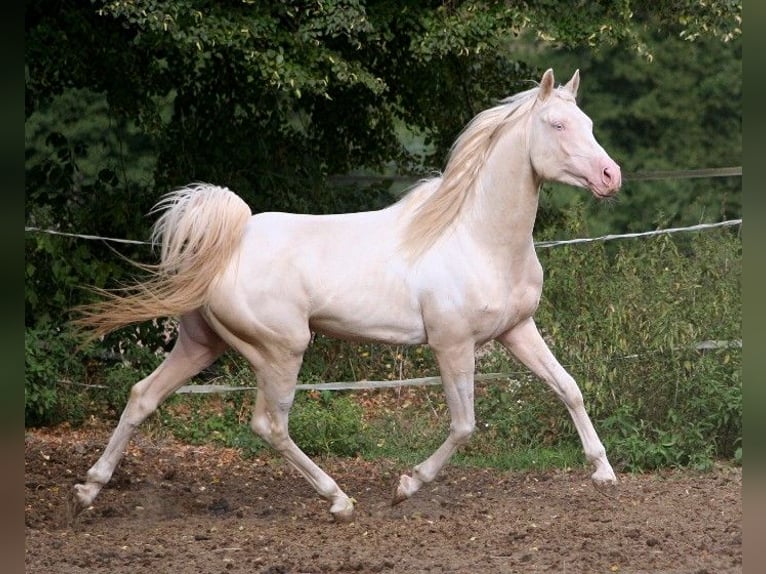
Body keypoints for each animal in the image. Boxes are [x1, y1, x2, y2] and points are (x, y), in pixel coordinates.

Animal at [72, 67, 624, 520]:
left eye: (589, 123)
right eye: (557, 125)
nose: (610, 176)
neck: (476, 236)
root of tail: (224, 246)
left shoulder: (517, 330)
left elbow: (568, 387)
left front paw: (604, 472)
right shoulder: (453, 344)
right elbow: (465, 424)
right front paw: (406, 485)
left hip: (201, 343)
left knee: (143, 396)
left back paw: (88, 491)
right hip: (281, 349)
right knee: (269, 425)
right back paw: (338, 500)